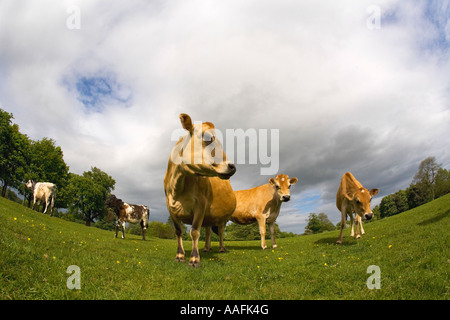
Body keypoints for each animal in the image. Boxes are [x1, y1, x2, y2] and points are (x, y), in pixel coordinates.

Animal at [163, 112, 237, 268]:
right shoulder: (169, 207)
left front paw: (194, 259)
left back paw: (221, 248)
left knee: (220, 231)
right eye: (208, 138)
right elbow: (178, 231)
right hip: (209, 216)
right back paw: (207, 248)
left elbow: (195, 231)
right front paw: (180, 255)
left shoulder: (200, 204)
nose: (232, 166)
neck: (178, 187)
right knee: (208, 231)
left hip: (222, 218)